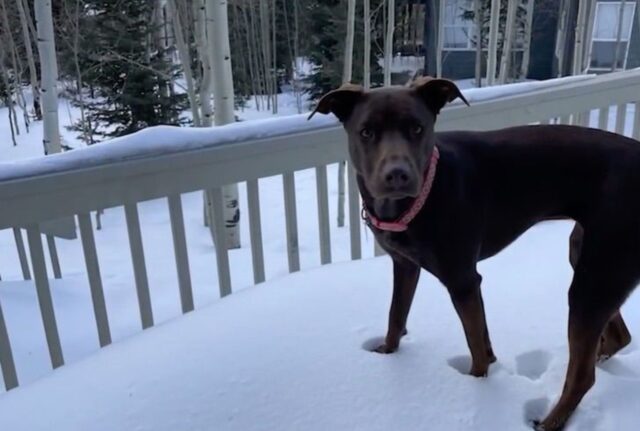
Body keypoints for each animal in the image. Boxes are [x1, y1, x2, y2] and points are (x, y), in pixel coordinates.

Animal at [308, 76, 636, 430]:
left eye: (418, 128)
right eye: (366, 131)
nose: (397, 174)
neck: (424, 195)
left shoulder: (462, 279)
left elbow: (476, 346)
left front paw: (477, 388)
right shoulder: (405, 264)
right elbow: (398, 315)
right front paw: (386, 354)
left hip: (597, 274)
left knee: (582, 376)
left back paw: (549, 420)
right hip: (590, 256)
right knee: (616, 339)